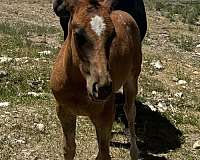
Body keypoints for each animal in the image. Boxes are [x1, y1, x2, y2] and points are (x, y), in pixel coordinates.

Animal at [50, 0, 143, 159]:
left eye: (112, 35)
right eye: (78, 35)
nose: (102, 88)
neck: (78, 85)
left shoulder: (105, 116)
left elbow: (103, 153)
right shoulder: (64, 111)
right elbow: (69, 149)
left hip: (132, 79)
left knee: (130, 111)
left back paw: (134, 151)